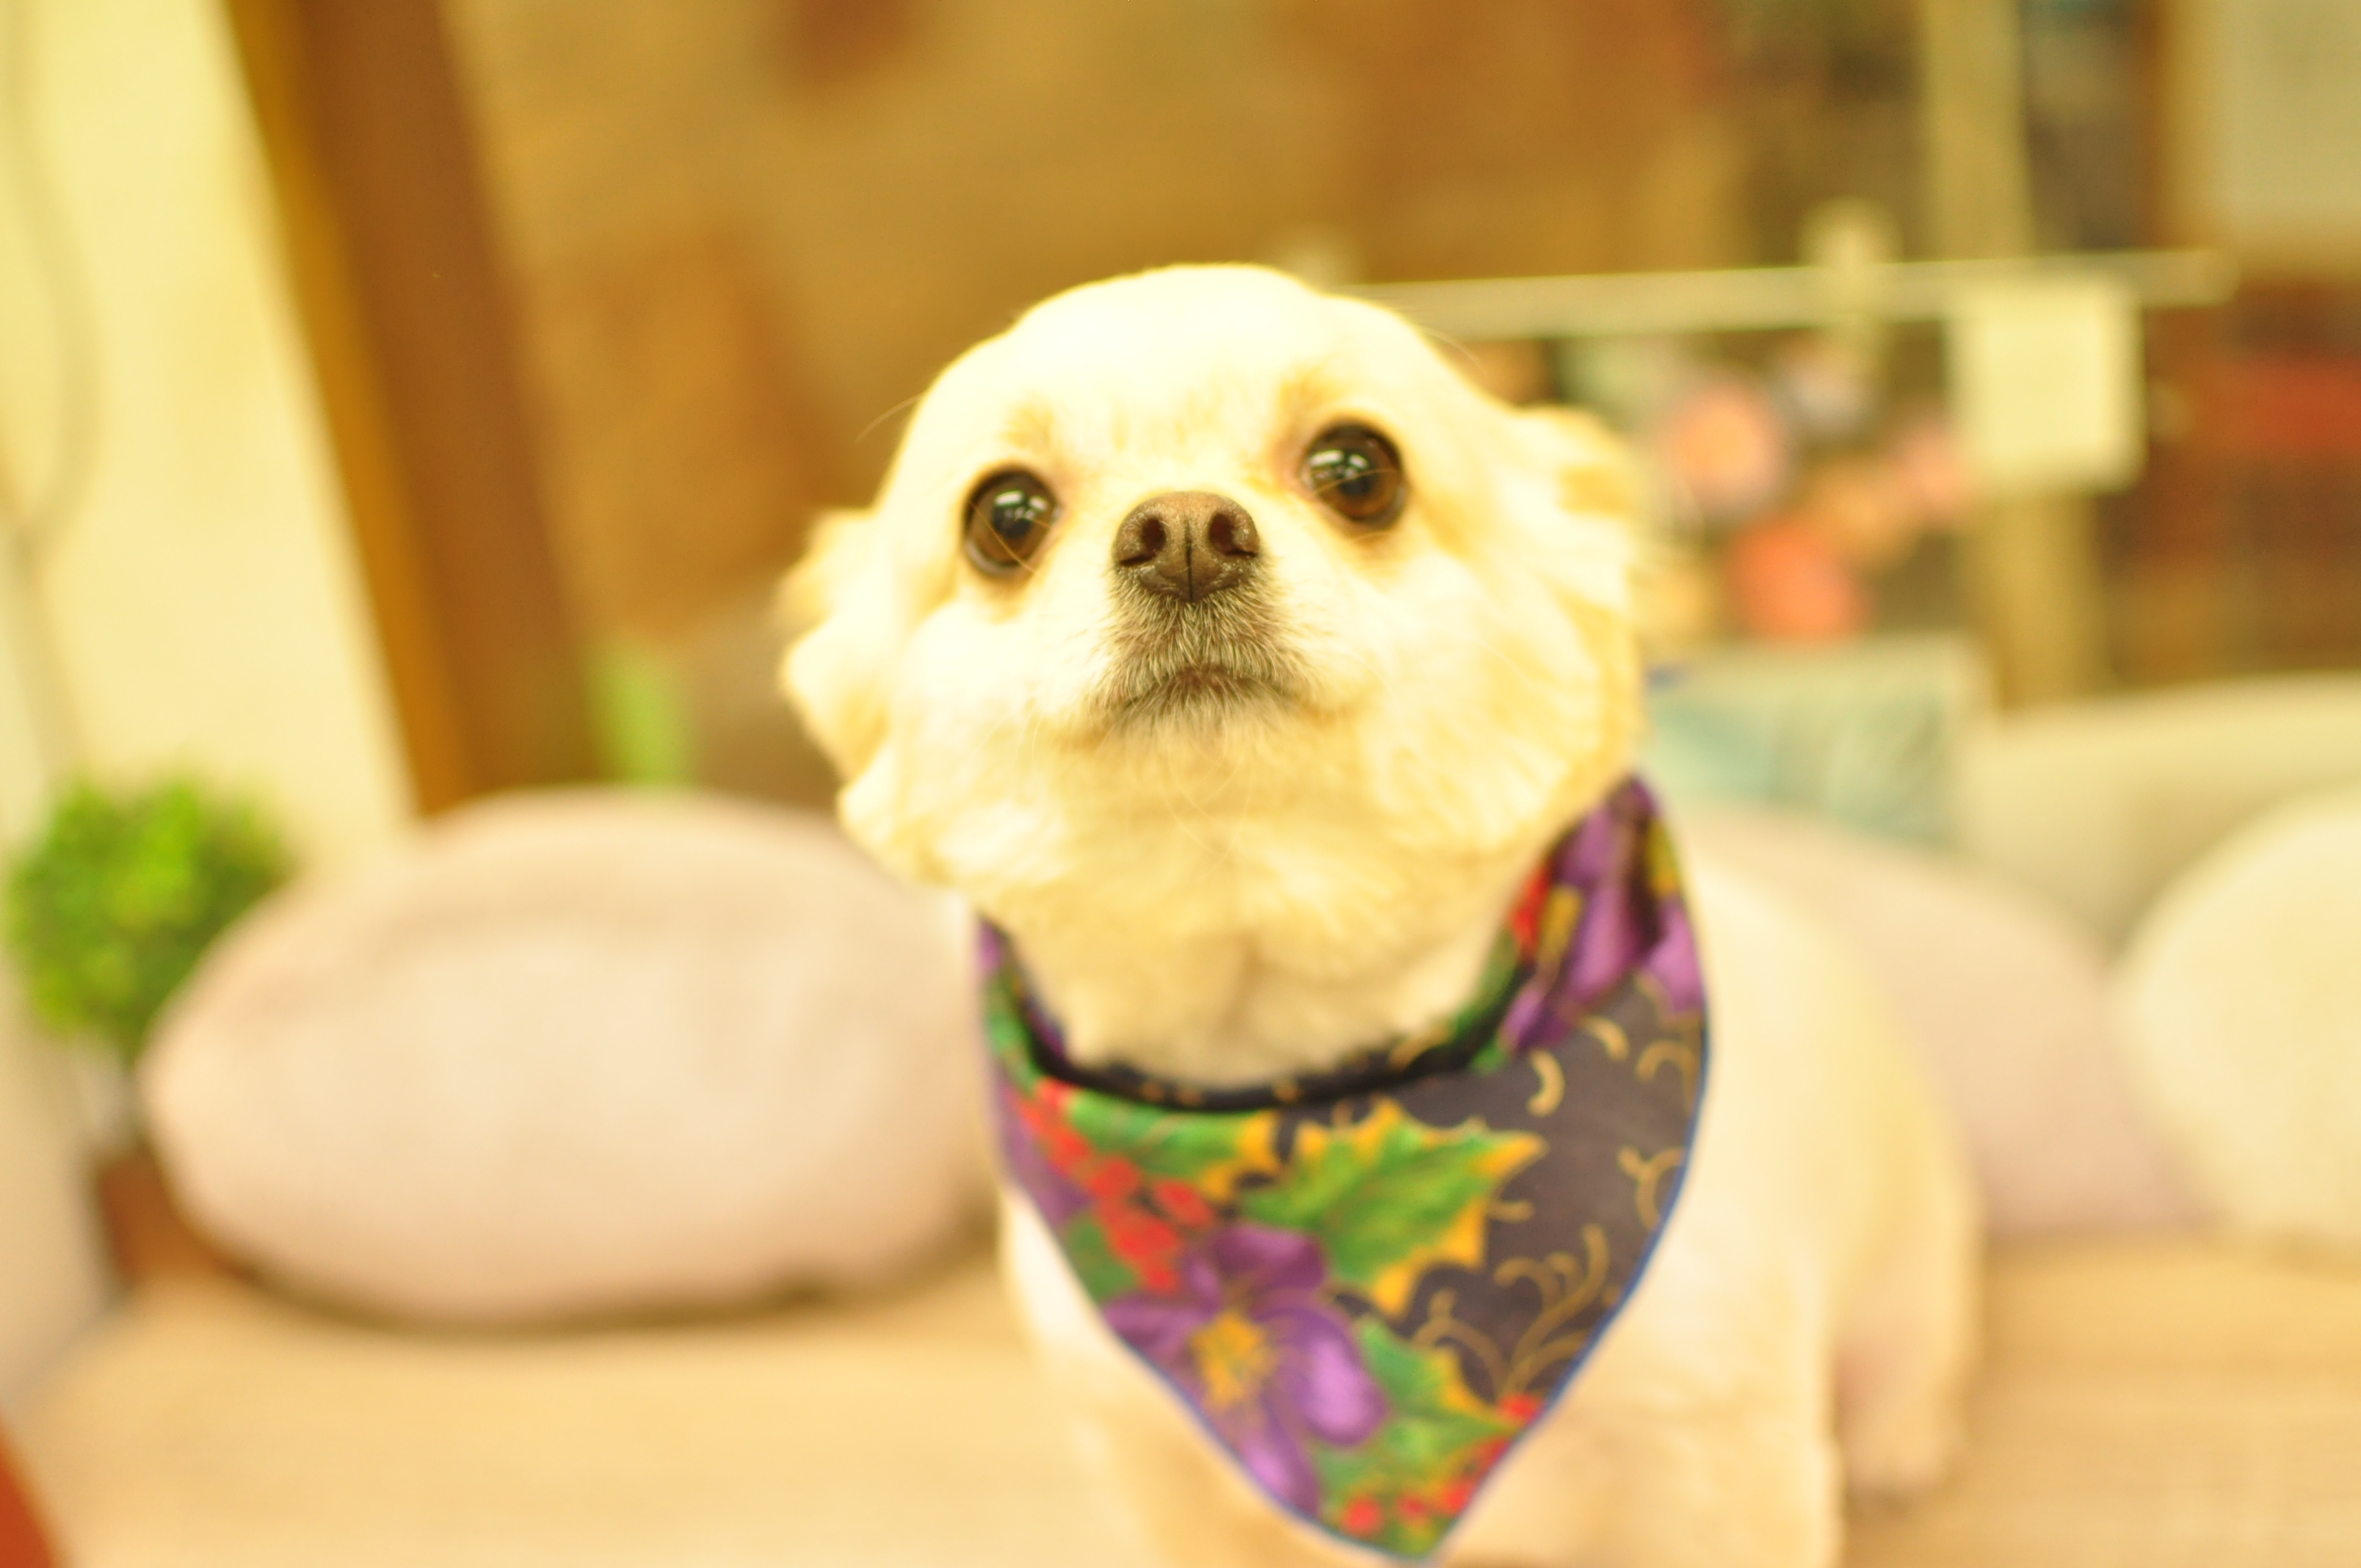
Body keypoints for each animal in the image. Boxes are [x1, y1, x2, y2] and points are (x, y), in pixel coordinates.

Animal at [783, 264, 1977, 1567]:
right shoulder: (1156, 1467)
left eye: (1359, 470)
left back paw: (1906, 1438)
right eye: (1004, 517)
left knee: (1913, 1355)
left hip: (1910, 1272)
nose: (1183, 529)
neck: (1288, 1075)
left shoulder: (1721, 1467)